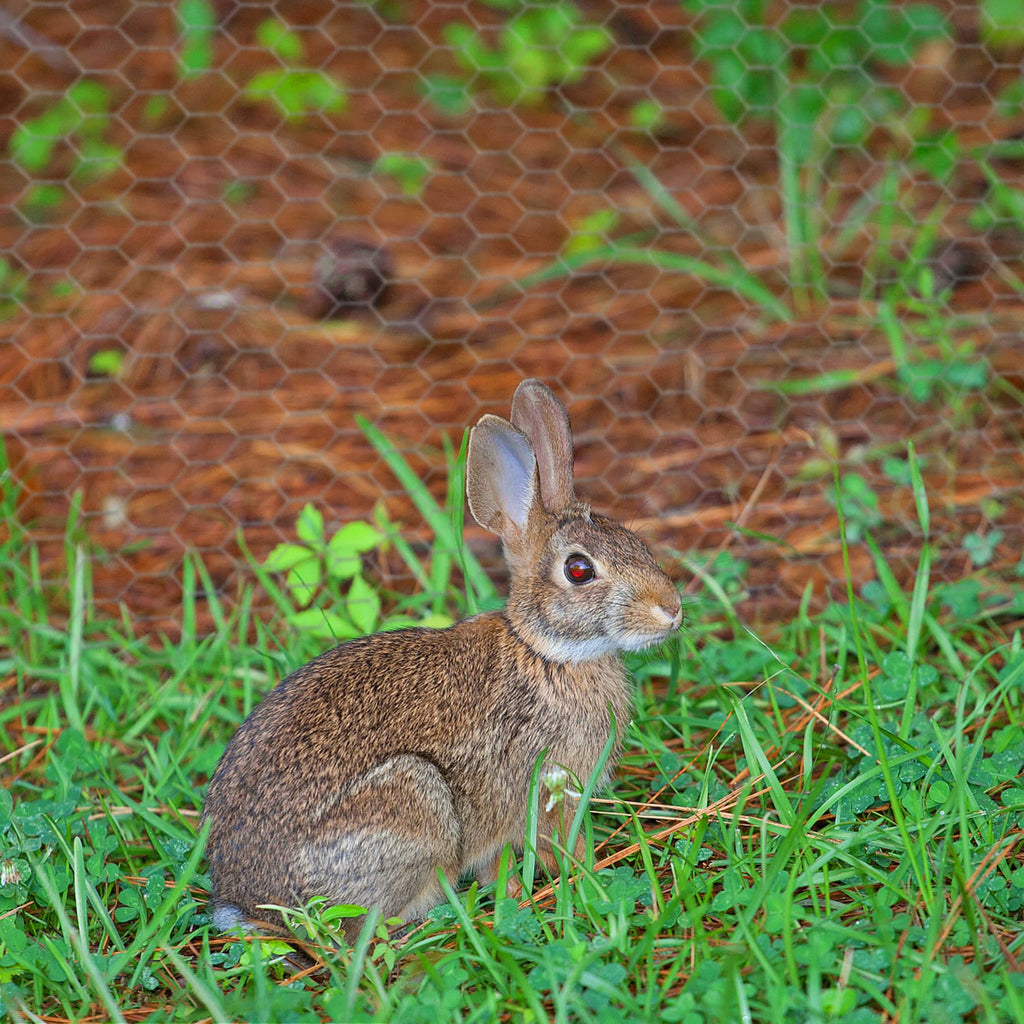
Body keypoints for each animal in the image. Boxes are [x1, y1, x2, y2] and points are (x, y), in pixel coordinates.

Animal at [202, 379, 683, 941]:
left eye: (635, 541)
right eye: (579, 570)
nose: (672, 610)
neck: (545, 652)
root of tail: (246, 898)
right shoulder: (543, 791)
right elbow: (550, 849)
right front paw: (580, 883)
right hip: (415, 800)